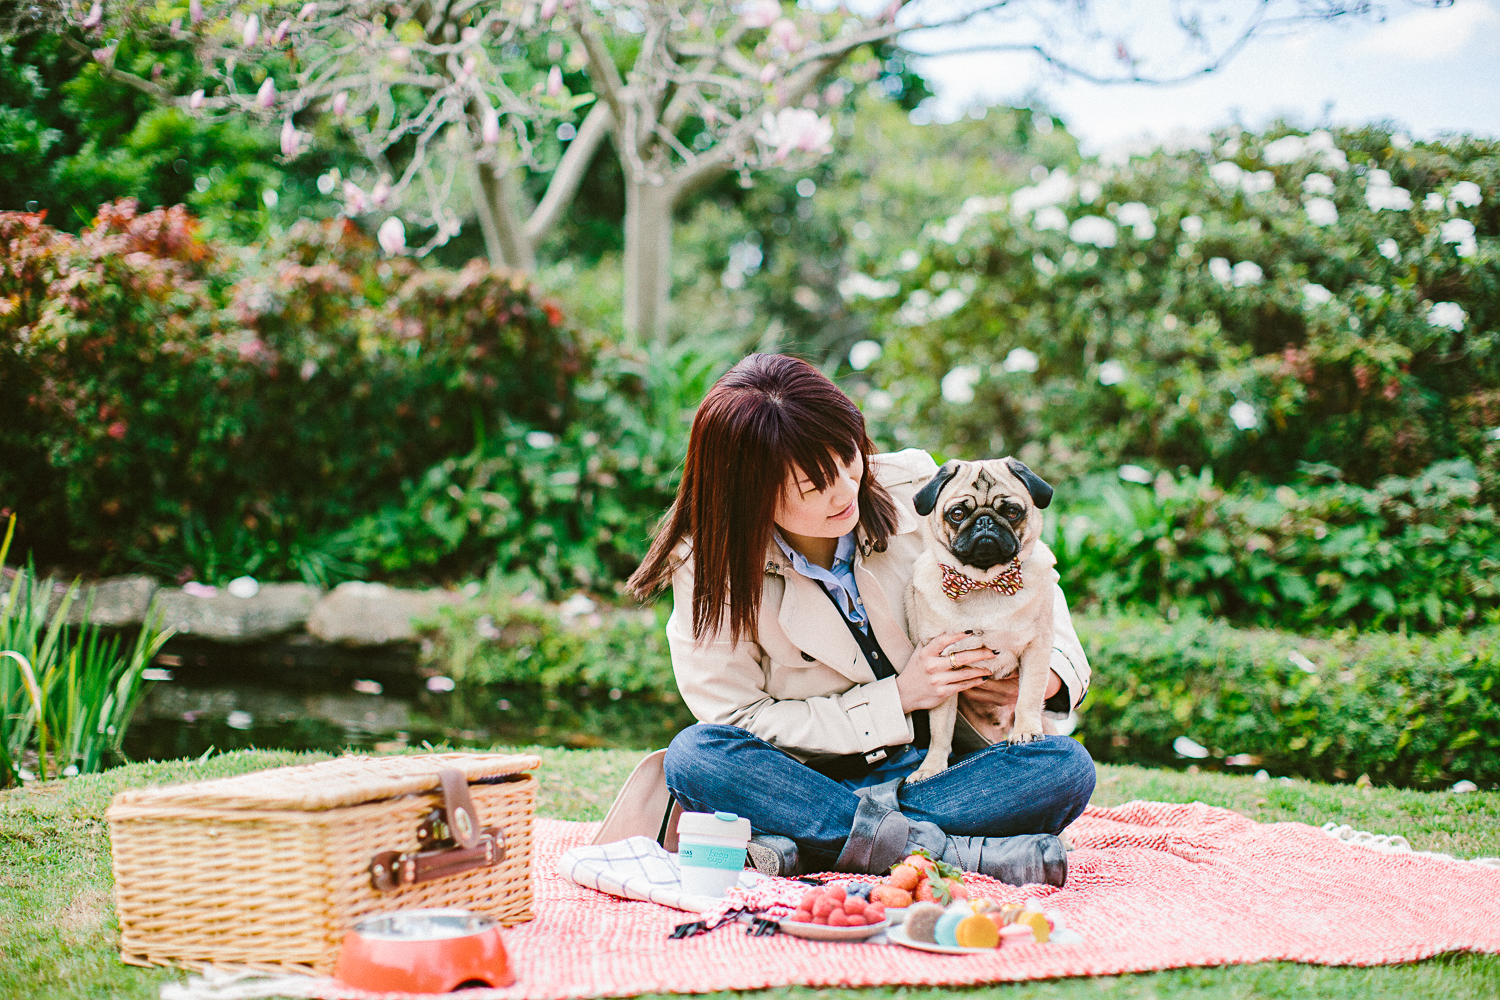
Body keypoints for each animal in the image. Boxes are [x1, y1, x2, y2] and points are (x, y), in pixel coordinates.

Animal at [900, 458, 1056, 779]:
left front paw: (1025, 731)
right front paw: (932, 767)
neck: (983, 584)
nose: (985, 522)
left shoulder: (1038, 646)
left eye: (1012, 512)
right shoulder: (943, 670)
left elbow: (1030, 694)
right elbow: (940, 729)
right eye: (957, 514)